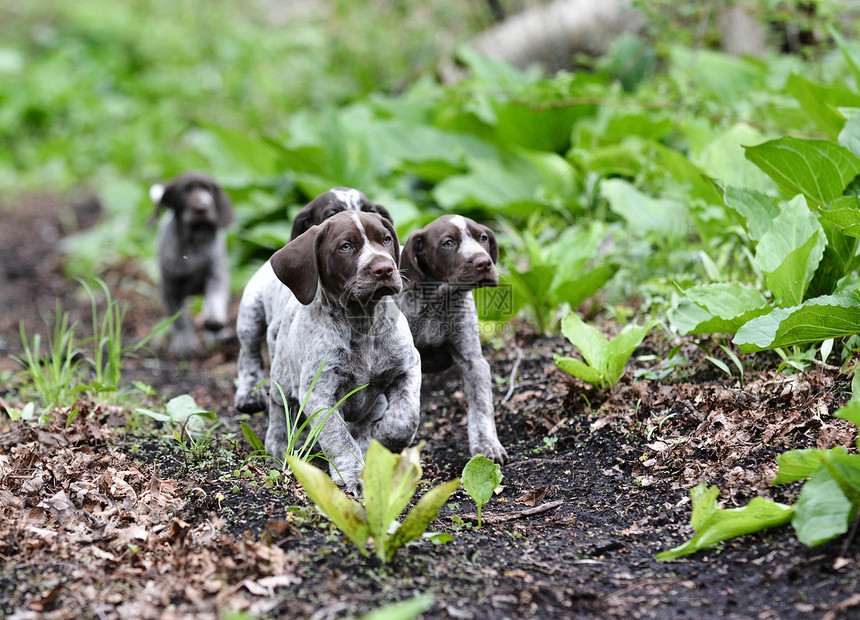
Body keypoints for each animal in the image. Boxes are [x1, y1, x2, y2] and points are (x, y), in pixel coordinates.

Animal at [150, 170, 232, 356]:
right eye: (184, 191)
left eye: (208, 189)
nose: (202, 208)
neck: (195, 240)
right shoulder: (170, 288)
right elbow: (179, 318)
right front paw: (185, 344)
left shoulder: (216, 276)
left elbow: (215, 298)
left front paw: (214, 321)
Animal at [235, 186, 396, 414]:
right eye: (332, 213)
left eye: (371, 211)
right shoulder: (278, 333)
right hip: (250, 318)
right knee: (248, 356)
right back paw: (248, 394)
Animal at [266, 212, 420, 494]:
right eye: (345, 246)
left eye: (386, 239)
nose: (384, 268)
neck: (362, 322)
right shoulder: (319, 395)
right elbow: (338, 436)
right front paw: (353, 475)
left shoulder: (409, 366)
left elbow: (405, 416)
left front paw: (385, 438)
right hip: (282, 374)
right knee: (279, 406)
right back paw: (277, 445)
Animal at [398, 213, 508, 460]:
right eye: (448, 243)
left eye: (483, 238)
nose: (484, 262)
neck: (438, 300)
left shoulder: (473, 362)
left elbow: (481, 406)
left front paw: (487, 444)